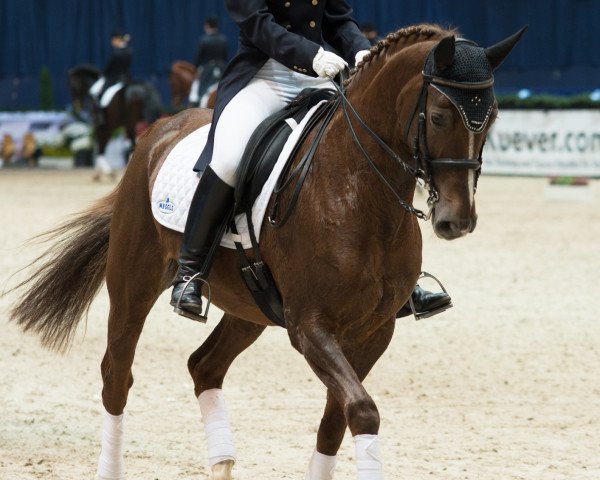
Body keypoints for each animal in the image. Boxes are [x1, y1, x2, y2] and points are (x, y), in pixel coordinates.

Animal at [10, 24, 524, 478]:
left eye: (492, 119)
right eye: (438, 116)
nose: (457, 221)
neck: (357, 190)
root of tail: (160, 128)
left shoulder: (375, 331)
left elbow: (337, 419)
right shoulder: (309, 327)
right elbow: (362, 410)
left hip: (248, 307)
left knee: (204, 366)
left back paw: (222, 464)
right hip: (133, 282)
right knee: (117, 374)